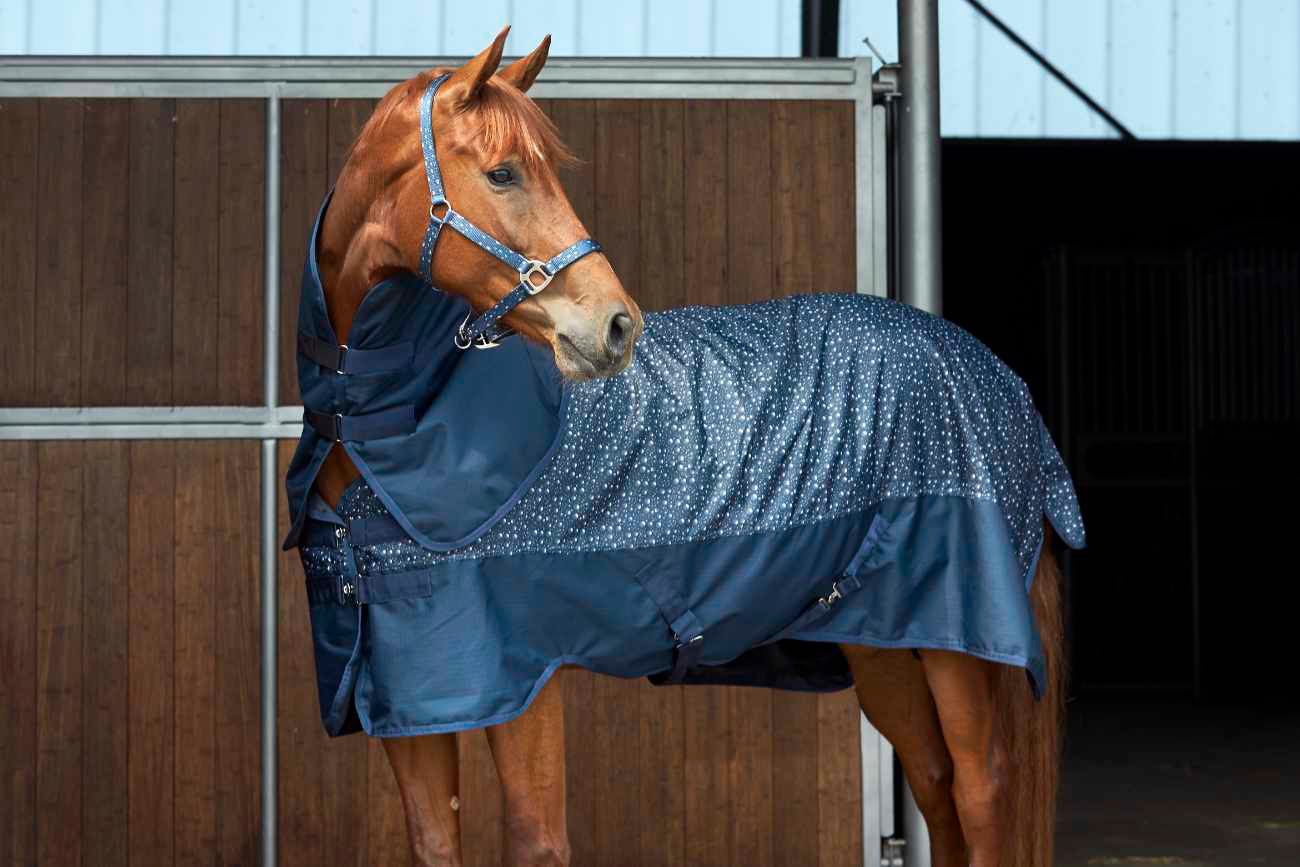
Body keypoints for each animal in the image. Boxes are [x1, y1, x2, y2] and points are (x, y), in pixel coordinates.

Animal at [286, 26, 1084, 867]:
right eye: (502, 172)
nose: (616, 325)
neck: (388, 430)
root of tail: (999, 377)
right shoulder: (411, 692)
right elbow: (434, 839)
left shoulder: (525, 679)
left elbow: (537, 840)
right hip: (887, 642)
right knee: (938, 787)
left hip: (962, 647)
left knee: (981, 791)